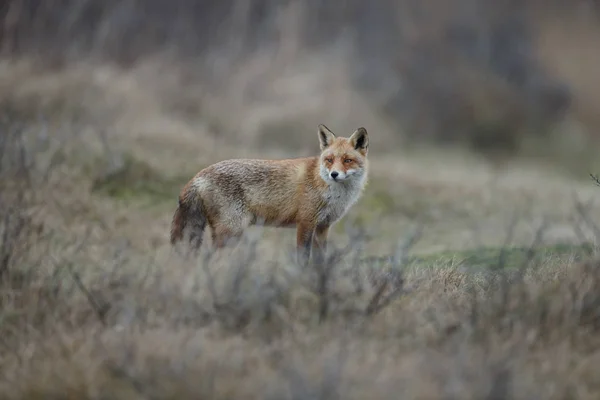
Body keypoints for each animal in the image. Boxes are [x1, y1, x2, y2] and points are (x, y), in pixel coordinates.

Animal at [166, 124, 368, 266]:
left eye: (347, 160)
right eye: (329, 160)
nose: (334, 174)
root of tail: (198, 176)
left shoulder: (323, 227)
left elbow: (320, 261)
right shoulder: (305, 222)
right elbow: (302, 259)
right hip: (232, 232)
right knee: (209, 259)